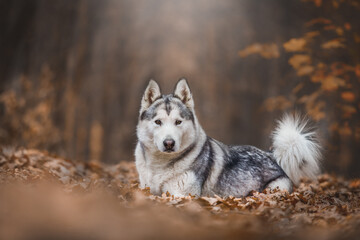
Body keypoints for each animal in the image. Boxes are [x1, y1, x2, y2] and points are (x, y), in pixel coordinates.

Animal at [134, 79, 320, 197]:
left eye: (178, 122)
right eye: (158, 122)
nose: (169, 143)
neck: (160, 167)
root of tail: (272, 155)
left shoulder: (182, 195)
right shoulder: (148, 190)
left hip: (274, 188)